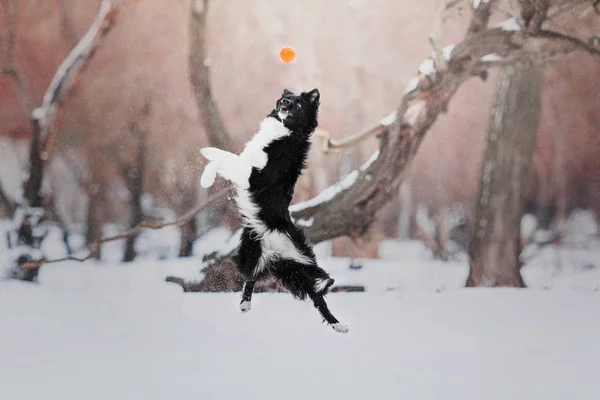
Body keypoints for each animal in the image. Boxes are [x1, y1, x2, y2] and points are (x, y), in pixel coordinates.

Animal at [199, 89, 346, 332]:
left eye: (298, 104)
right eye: (285, 98)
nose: (284, 101)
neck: (286, 133)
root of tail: (272, 252)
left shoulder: (255, 177)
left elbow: (227, 156)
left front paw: (208, 151)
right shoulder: (245, 170)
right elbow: (221, 162)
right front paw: (205, 179)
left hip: (300, 266)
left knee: (318, 293)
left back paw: (338, 325)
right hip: (251, 254)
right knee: (252, 277)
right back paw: (245, 304)